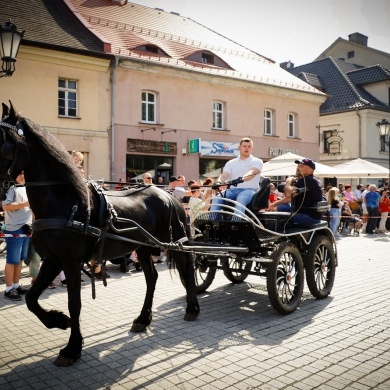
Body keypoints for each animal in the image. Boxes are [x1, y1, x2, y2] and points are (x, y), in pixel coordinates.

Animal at [0, 103, 200, 366]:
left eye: (4, 142)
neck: (65, 204)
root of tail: (169, 194)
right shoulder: (53, 260)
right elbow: (32, 299)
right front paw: (58, 321)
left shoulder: (69, 262)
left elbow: (74, 303)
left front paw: (72, 348)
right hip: (143, 248)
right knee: (152, 278)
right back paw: (143, 318)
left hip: (174, 242)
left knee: (186, 271)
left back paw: (192, 308)